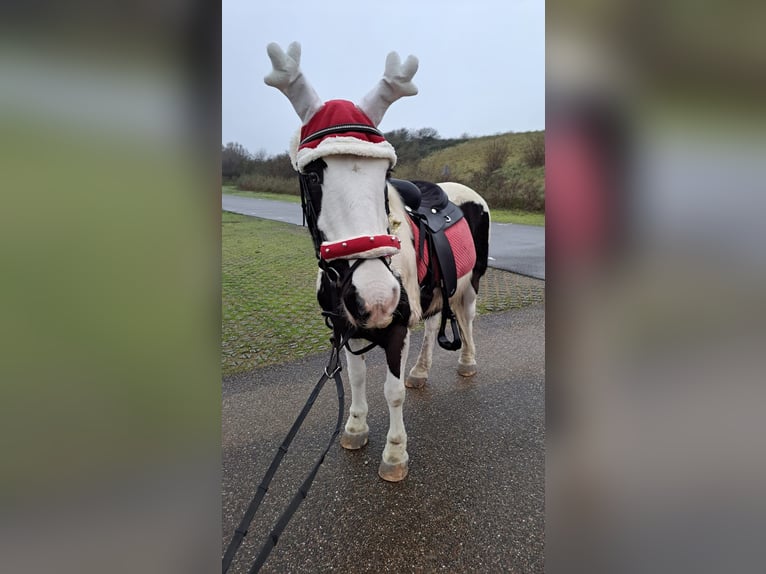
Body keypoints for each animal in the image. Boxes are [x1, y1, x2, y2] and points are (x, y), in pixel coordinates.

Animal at [266, 41, 492, 482]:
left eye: (386, 173)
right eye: (313, 176)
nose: (375, 297)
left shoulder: (396, 327)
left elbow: (392, 391)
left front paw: (395, 453)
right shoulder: (347, 330)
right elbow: (355, 378)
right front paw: (355, 428)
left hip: (471, 282)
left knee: (466, 318)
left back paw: (467, 362)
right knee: (435, 324)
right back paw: (421, 371)